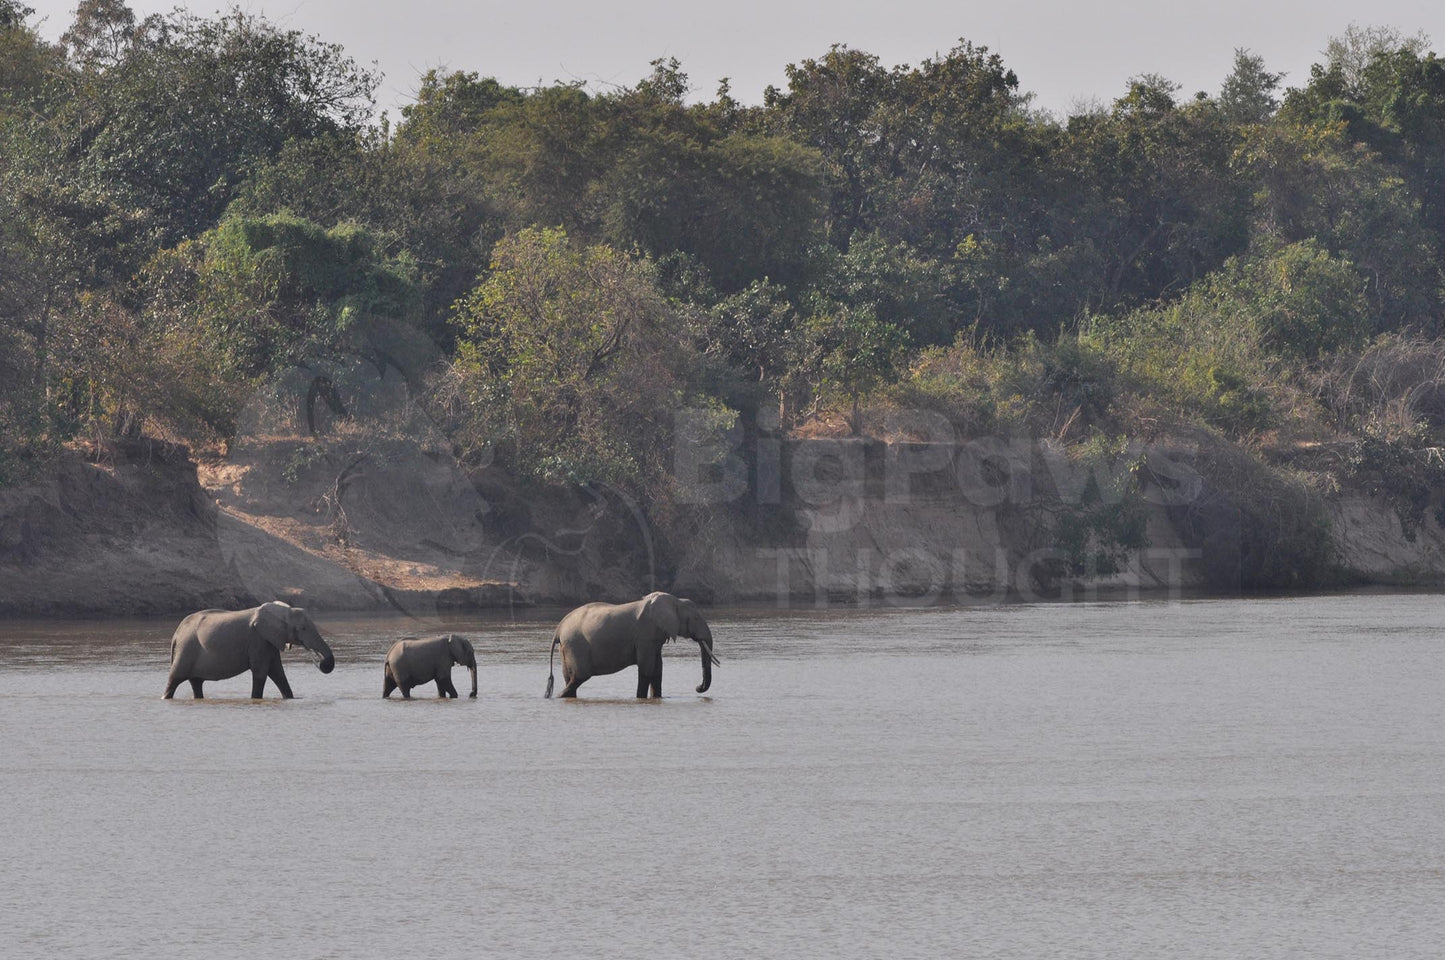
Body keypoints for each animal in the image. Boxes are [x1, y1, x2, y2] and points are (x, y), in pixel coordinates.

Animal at [162, 601, 333, 696]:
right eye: (302, 628)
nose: (321, 662)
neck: (284, 610)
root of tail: (176, 634)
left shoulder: (269, 641)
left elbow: (278, 674)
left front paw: (290, 698)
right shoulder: (258, 640)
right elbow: (261, 673)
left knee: (196, 683)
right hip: (186, 649)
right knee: (174, 680)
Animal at [543, 592, 719, 696]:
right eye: (696, 618)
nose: (697, 688)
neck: (675, 600)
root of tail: (559, 628)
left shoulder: (654, 638)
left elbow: (657, 670)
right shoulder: (645, 636)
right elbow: (647, 670)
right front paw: (640, 698)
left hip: (566, 648)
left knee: (569, 678)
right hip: (575, 645)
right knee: (579, 677)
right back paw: (558, 696)